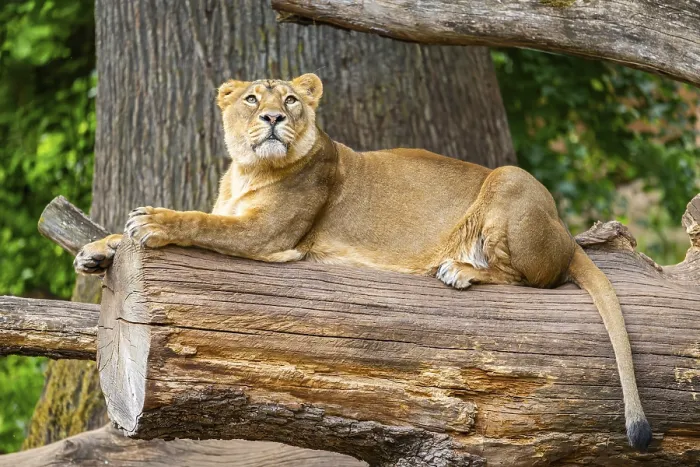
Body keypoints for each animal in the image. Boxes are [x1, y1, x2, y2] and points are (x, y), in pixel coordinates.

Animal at [75, 73, 652, 451]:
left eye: (290, 99)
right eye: (252, 98)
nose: (273, 118)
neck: (246, 171)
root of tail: (564, 230)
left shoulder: (268, 236)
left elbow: (199, 221)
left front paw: (153, 221)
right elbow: (157, 226)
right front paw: (98, 250)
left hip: (510, 180)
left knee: (533, 281)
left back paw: (459, 269)